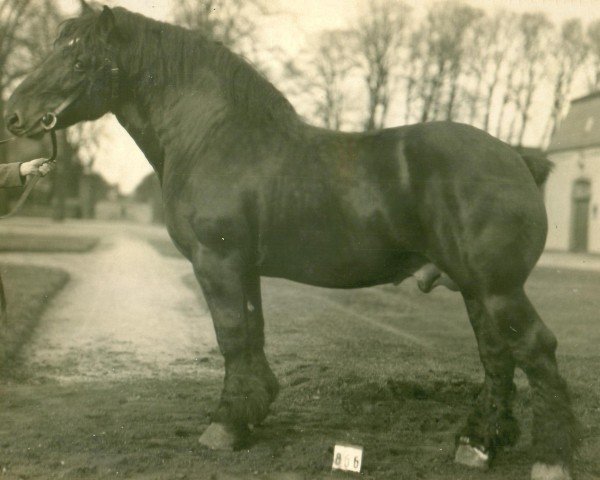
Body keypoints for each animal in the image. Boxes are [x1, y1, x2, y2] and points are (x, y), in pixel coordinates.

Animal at [4, 4, 576, 480]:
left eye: (81, 60)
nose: (14, 115)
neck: (213, 135)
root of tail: (517, 158)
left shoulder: (218, 261)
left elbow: (232, 337)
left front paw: (224, 427)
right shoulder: (242, 268)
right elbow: (251, 335)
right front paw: (251, 413)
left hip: (497, 288)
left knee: (536, 350)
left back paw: (550, 459)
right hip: (475, 288)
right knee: (497, 356)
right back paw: (478, 444)